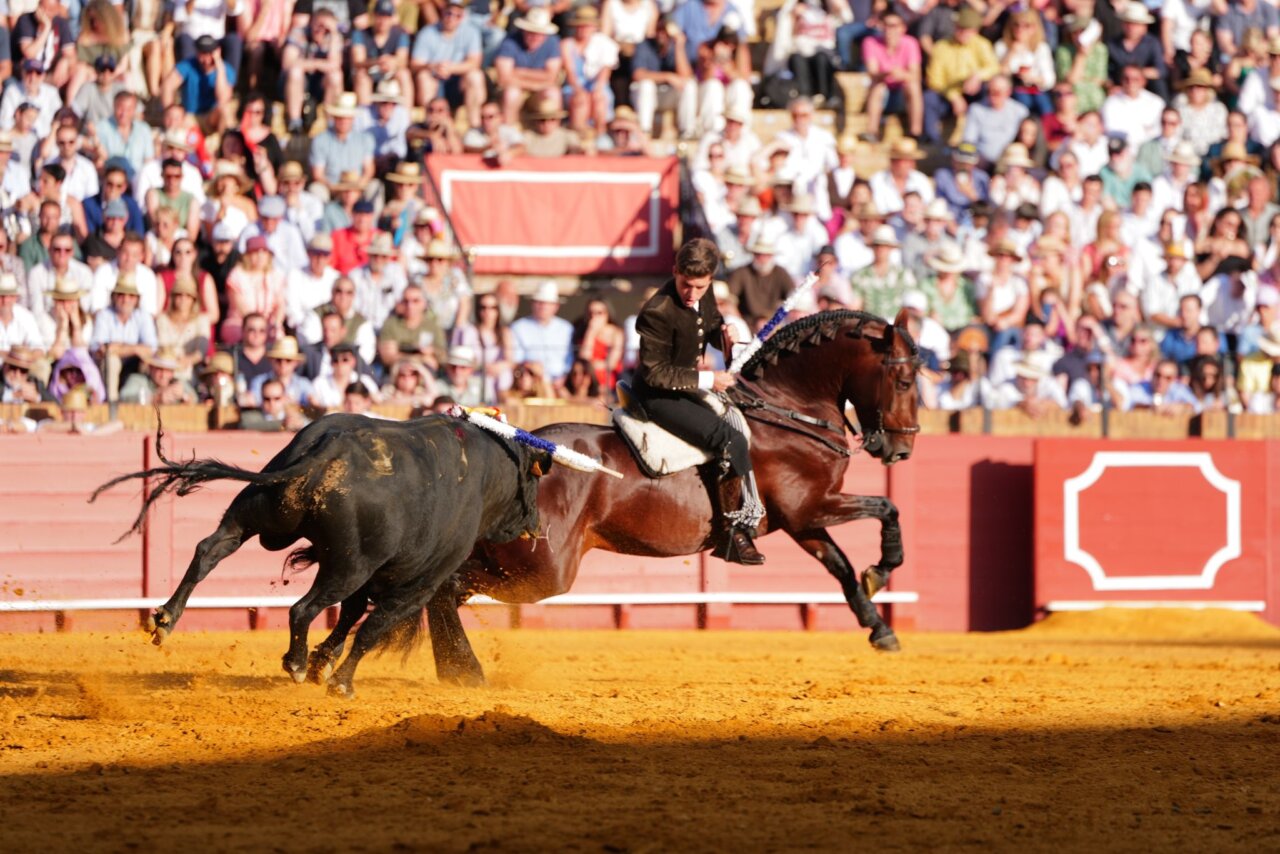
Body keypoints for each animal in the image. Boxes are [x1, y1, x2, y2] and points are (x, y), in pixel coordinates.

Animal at [92, 414, 549, 697]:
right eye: (533, 481)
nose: (536, 522)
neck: (487, 473)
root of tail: (328, 451)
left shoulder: (371, 577)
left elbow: (349, 618)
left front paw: (321, 664)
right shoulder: (418, 585)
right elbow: (369, 629)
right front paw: (338, 681)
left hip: (254, 517)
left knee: (209, 551)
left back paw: (166, 619)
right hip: (348, 566)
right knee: (303, 608)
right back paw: (293, 664)